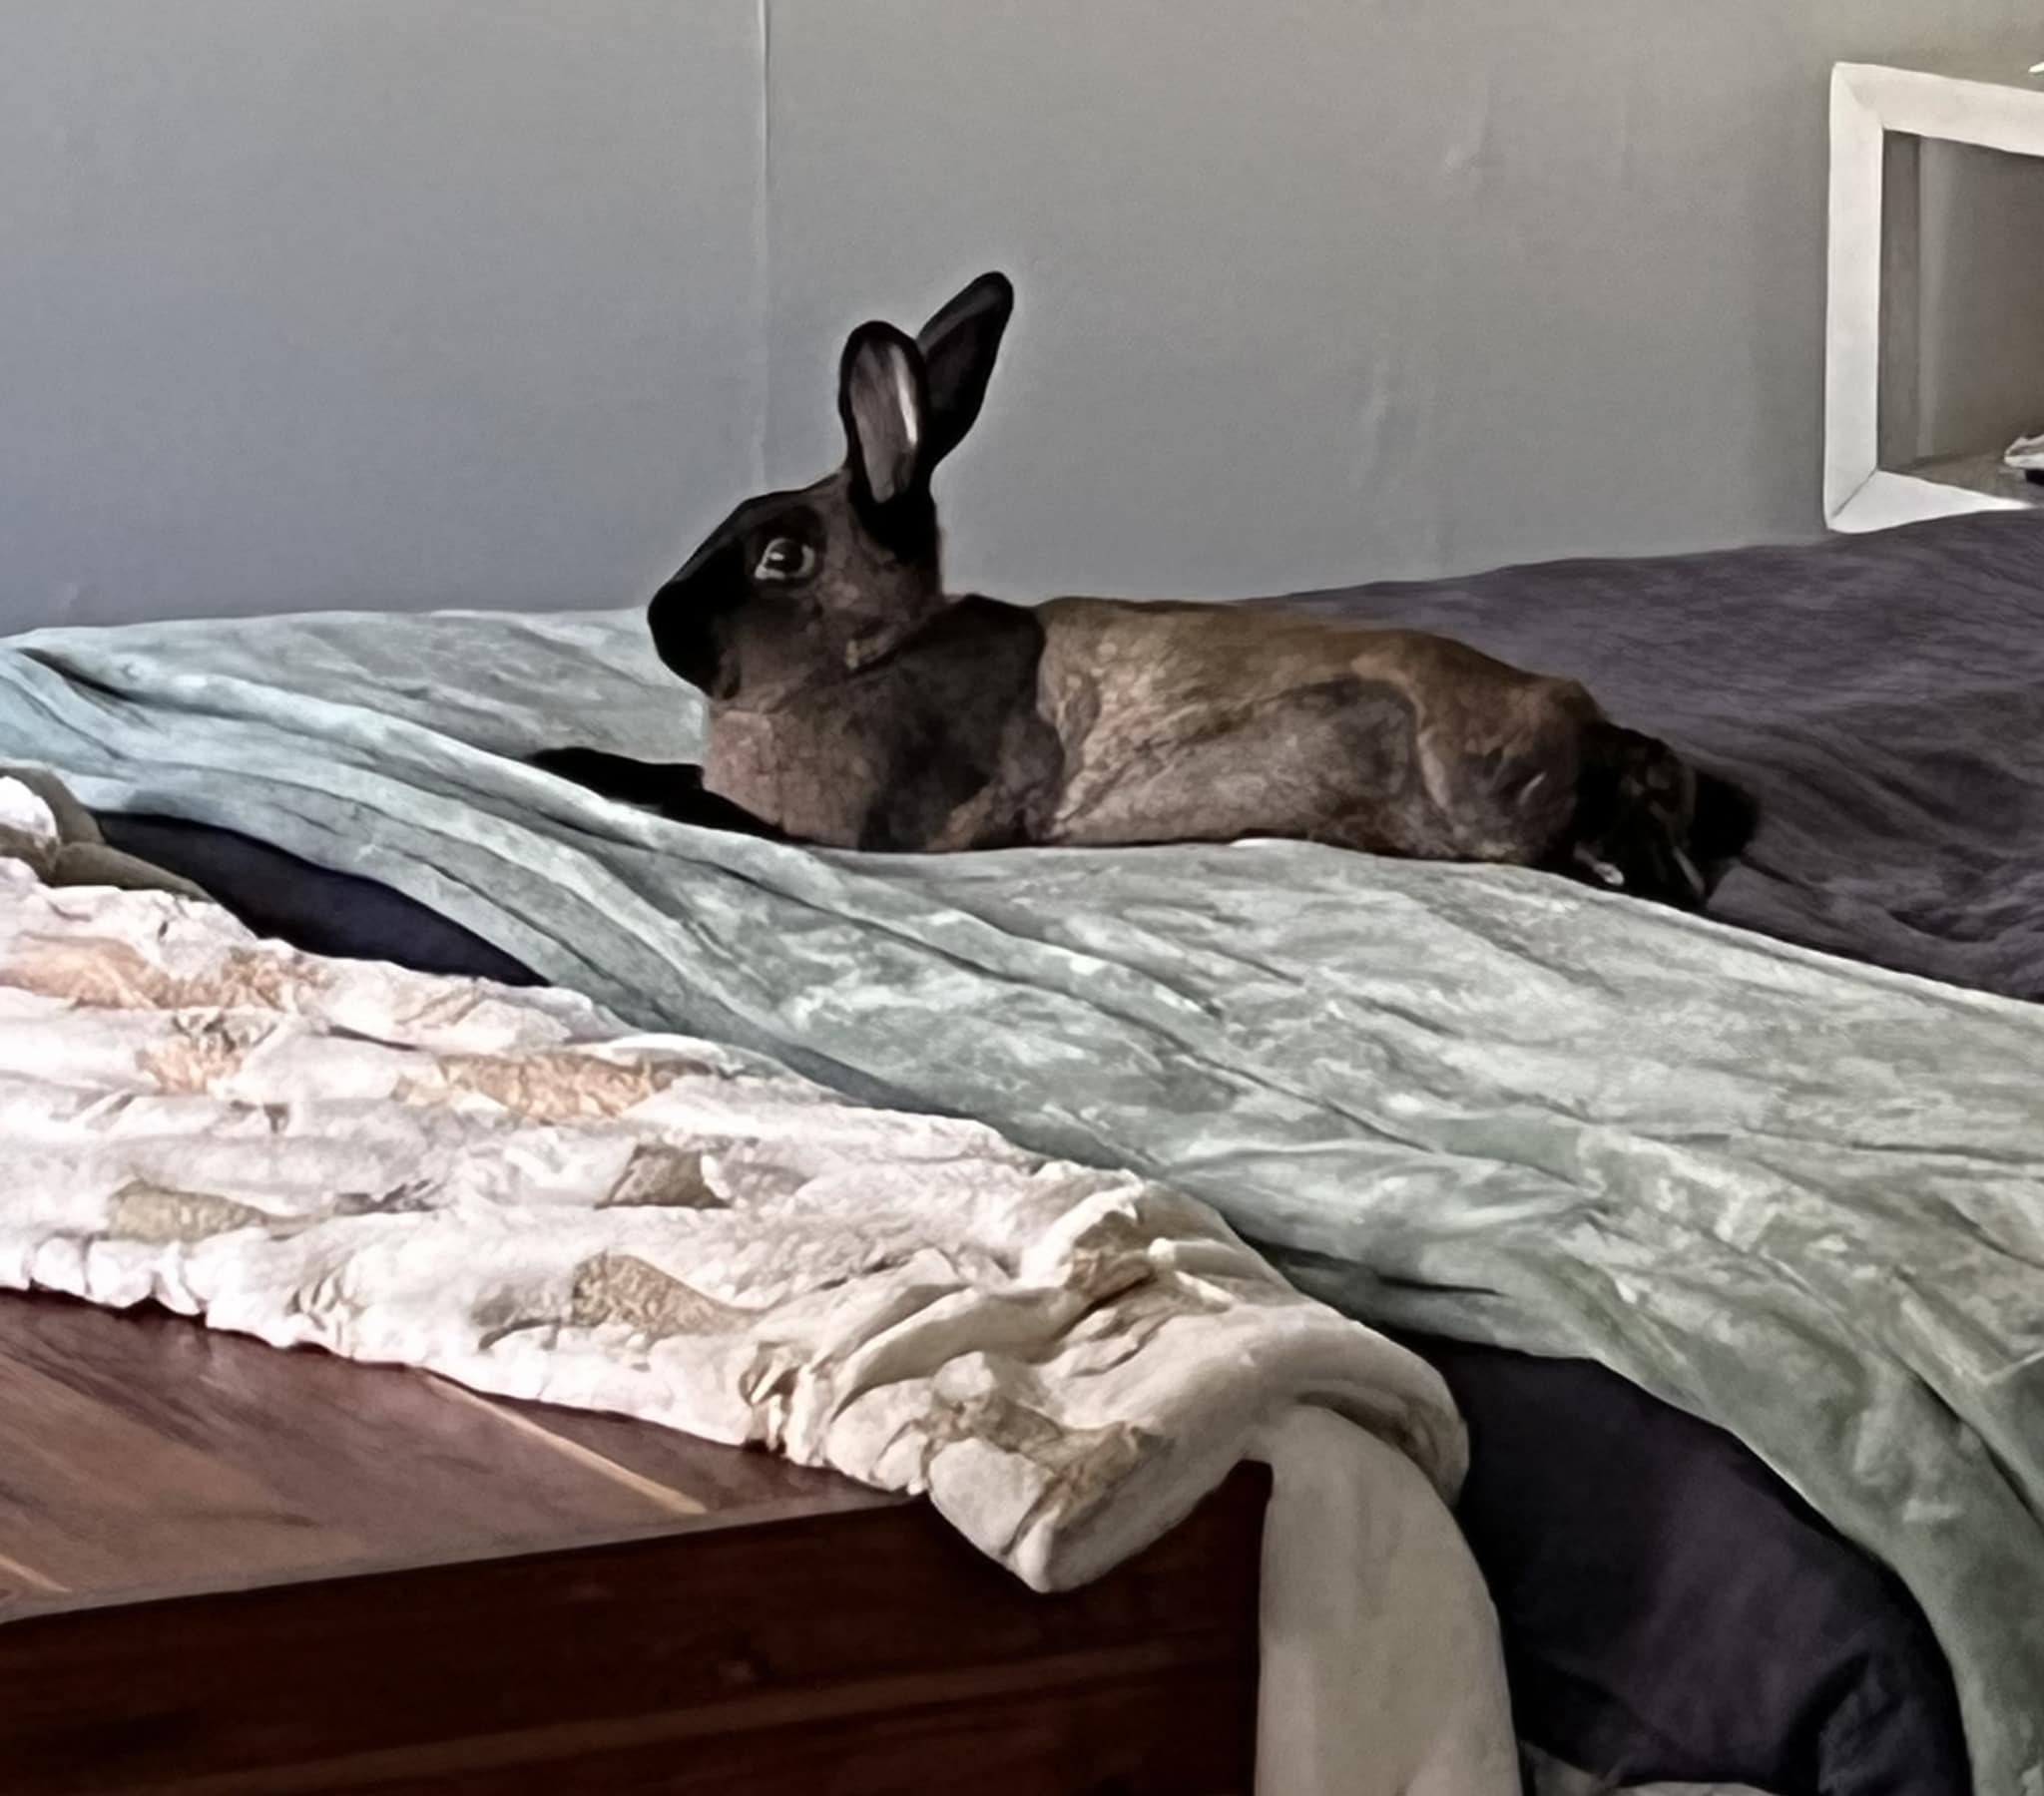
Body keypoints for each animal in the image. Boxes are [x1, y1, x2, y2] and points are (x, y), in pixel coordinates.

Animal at [534, 272, 1750, 906]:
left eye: (781, 559)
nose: (660, 622)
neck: (881, 651)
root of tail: (1573, 717)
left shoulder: (850, 826)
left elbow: (699, 803)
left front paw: (570, 764)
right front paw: (565, 753)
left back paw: (1626, 867)